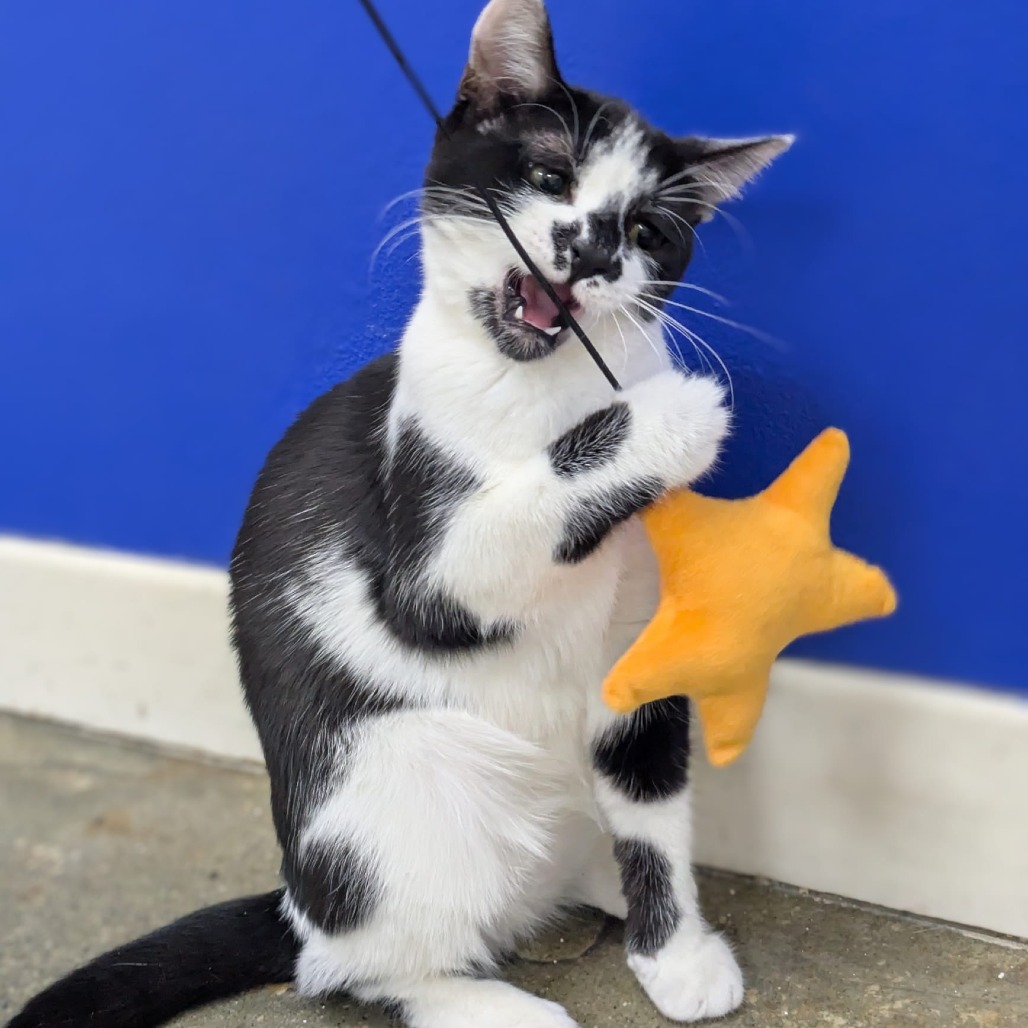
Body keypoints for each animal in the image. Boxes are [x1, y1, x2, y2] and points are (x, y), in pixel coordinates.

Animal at [8, 1, 791, 1026]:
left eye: (650, 229)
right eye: (549, 177)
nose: (589, 251)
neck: (546, 387)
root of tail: (301, 898)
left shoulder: (641, 657)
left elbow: (652, 804)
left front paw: (677, 952)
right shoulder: (424, 555)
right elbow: (489, 546)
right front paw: (672, 417)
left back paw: (601, 886)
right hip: (406, 783)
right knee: (358, 965)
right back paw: (496, 1005)